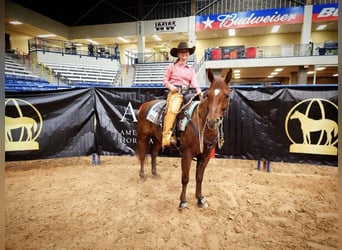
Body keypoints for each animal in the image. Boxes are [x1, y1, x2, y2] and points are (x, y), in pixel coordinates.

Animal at [136, 68, 232, 209]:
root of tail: (146, 104)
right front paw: (183, 201)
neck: (199, 122)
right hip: (143, 137)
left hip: (159, 139)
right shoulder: (187, 153)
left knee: (153, 153)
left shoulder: (205, 155)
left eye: (226, 95)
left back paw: (155, 173)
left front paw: (200, 199)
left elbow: (199, 177)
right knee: (143, 155)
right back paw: (142, 175)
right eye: (208, 95)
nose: (212, 121)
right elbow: (185, 178)